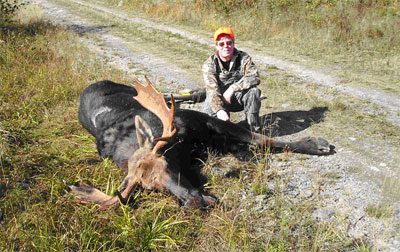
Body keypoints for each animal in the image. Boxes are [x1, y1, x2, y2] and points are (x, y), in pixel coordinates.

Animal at [68, 76, 332, 209]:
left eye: (167, 164)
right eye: (152, 189)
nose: (196, 202)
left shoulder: (205, 121)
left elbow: (262, 138)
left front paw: (317, 144)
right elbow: (251, 145)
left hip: (131, 88)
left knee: (168, 95)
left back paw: (198, 92)